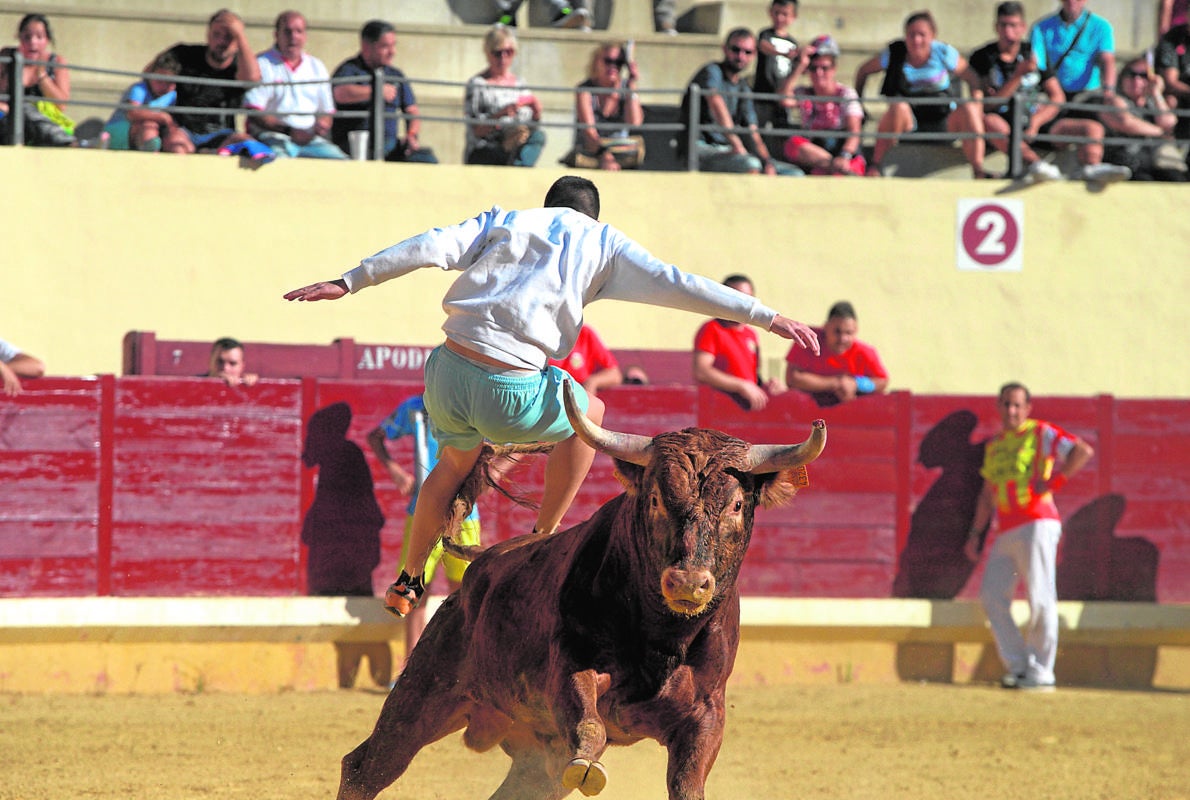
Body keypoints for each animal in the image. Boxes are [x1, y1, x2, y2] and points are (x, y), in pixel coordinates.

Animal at [340, 383, 823, 795]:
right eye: (654, 499)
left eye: (737, 504)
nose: (687, 581)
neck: (666, 637)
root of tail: (480, 566)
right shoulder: (571, 667)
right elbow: (587, 719)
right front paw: (588, 767)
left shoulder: (707, 713)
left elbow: (688, 781)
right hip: (427, 690)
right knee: (366, 766)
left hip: (531, 755)